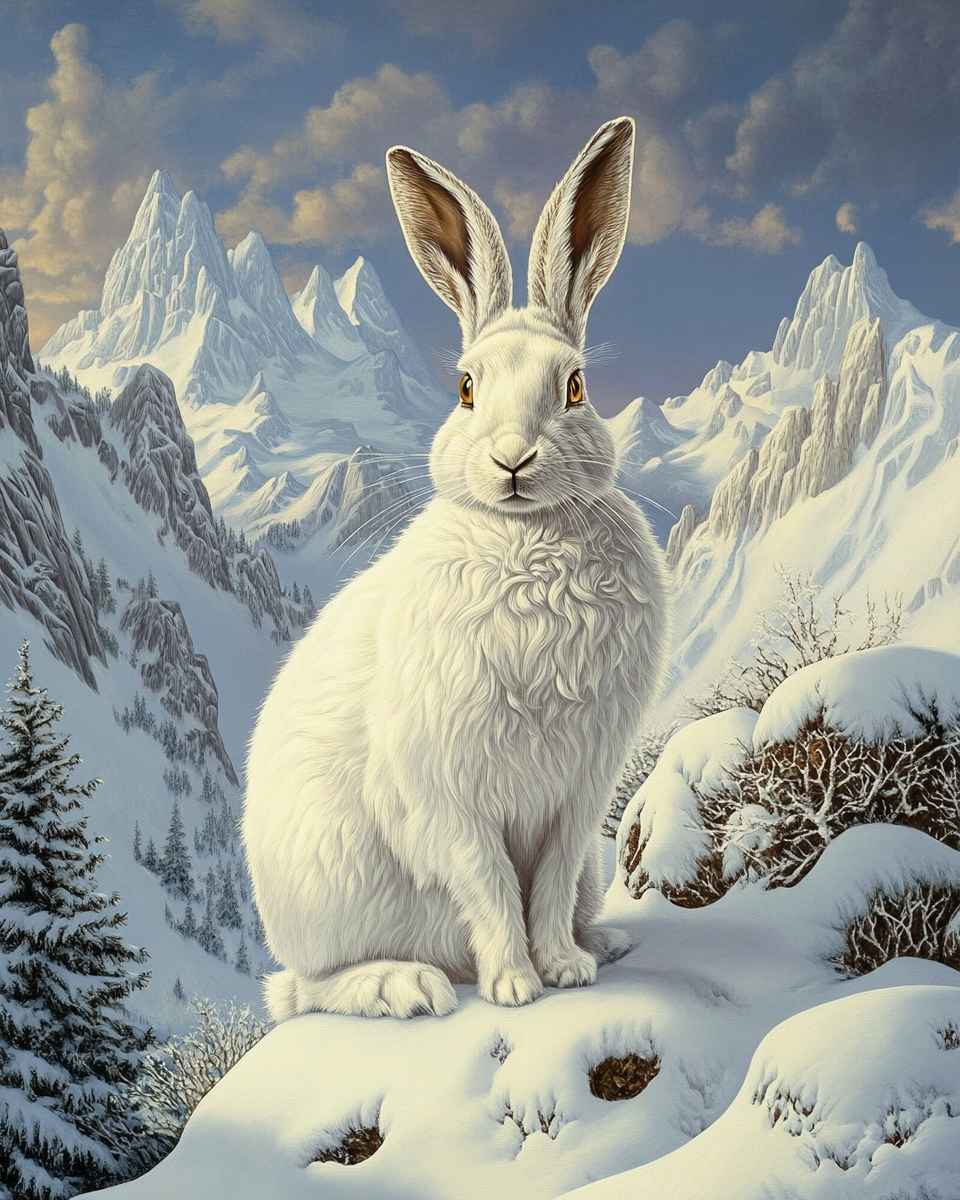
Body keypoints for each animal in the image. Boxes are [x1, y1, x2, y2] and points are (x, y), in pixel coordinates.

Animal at [243, 116, 670, 1021]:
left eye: (575, 387)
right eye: (466, 389)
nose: (513, 460)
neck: (527, 540)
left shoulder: (577, 798)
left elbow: (545, 885)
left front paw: (564, 969)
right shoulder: (445, 796)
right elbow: (490, 883)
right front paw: (513, 986)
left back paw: (602, 943)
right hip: (333, 891)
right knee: (308, 987)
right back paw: (408, 986)